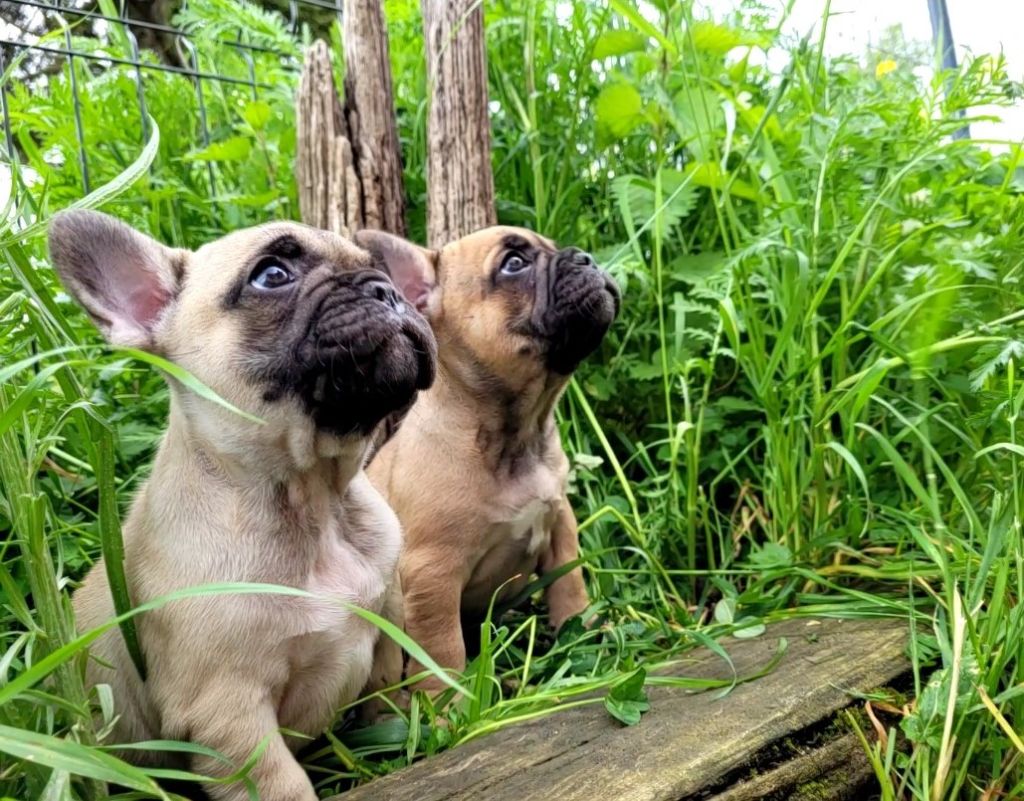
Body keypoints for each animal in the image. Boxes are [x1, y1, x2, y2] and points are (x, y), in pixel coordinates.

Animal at [49, 209, 434, 798]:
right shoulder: (228, 715)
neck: (313, 498)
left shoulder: (387, 625)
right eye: (271, 275)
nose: (387, 290)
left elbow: (386, 696)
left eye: (381, 270)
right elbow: (284, 785)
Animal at [356, 225, 618, 688]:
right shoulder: (432, 573)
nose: (586, 258)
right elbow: (443, 650)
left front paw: (582, 637)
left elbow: (569, 585)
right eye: (514, 264)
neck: (516, 436)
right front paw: (444, 702)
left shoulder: (561, 524)